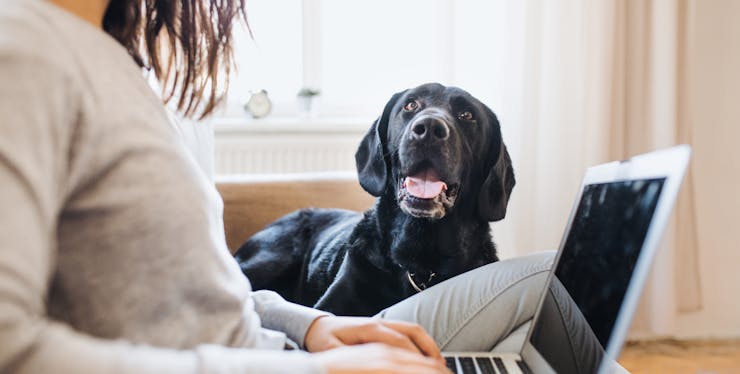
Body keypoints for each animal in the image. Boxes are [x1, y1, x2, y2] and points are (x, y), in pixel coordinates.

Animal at [237, 84, 516, 316]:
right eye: (410, 105)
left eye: (467, 115)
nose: (428, 129)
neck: (421, 262)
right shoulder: (331, 307)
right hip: (272, 258)